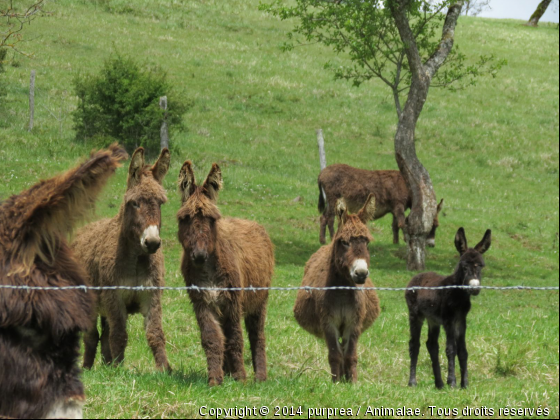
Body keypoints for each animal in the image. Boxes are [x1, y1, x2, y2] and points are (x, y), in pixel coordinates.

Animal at [73, 147, 172, 370]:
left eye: (160, 203)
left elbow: (155, 334)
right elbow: (119, 335)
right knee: (92, 336)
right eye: (135, 203)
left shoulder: (151, 294)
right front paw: (119, 369)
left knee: (104, 334)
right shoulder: (114, 296)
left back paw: (107, 365)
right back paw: (88, 368)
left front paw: (165, 369)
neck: (136, 259)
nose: (152, 243)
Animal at [177, 162, 274, 388]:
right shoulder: (202, 302)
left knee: (257, 336)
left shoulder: (232, 301)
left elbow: (235, 338)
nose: (199, 255)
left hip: (259, 301)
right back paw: (227, 372)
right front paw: (215, 379)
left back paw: (260, 377)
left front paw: (241, 378)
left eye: (212, 219)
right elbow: (212, 339)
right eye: (185, 218)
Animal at [294, 195, 380, 382]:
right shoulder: (328, 322)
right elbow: (335, 355)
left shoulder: (354, 323)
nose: (361, 273)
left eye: (367, 243)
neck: (342, 290)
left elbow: (351, 355)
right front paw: (336, 383)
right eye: (344, 242)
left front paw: (353, 383)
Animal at [404, 228, 492, 388]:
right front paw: (452, 382)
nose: (474, 288)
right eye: (464, 266)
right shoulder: (448, 321)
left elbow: (463, 351)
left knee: (431, 345)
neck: (458, 294)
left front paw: (465, 384)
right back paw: (412, 381)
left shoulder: (461, 321)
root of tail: (417, 276)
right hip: (415, 315)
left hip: (433, 320)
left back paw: (439, 384)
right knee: (414, 344)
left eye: (481, 265)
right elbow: (451, 349)